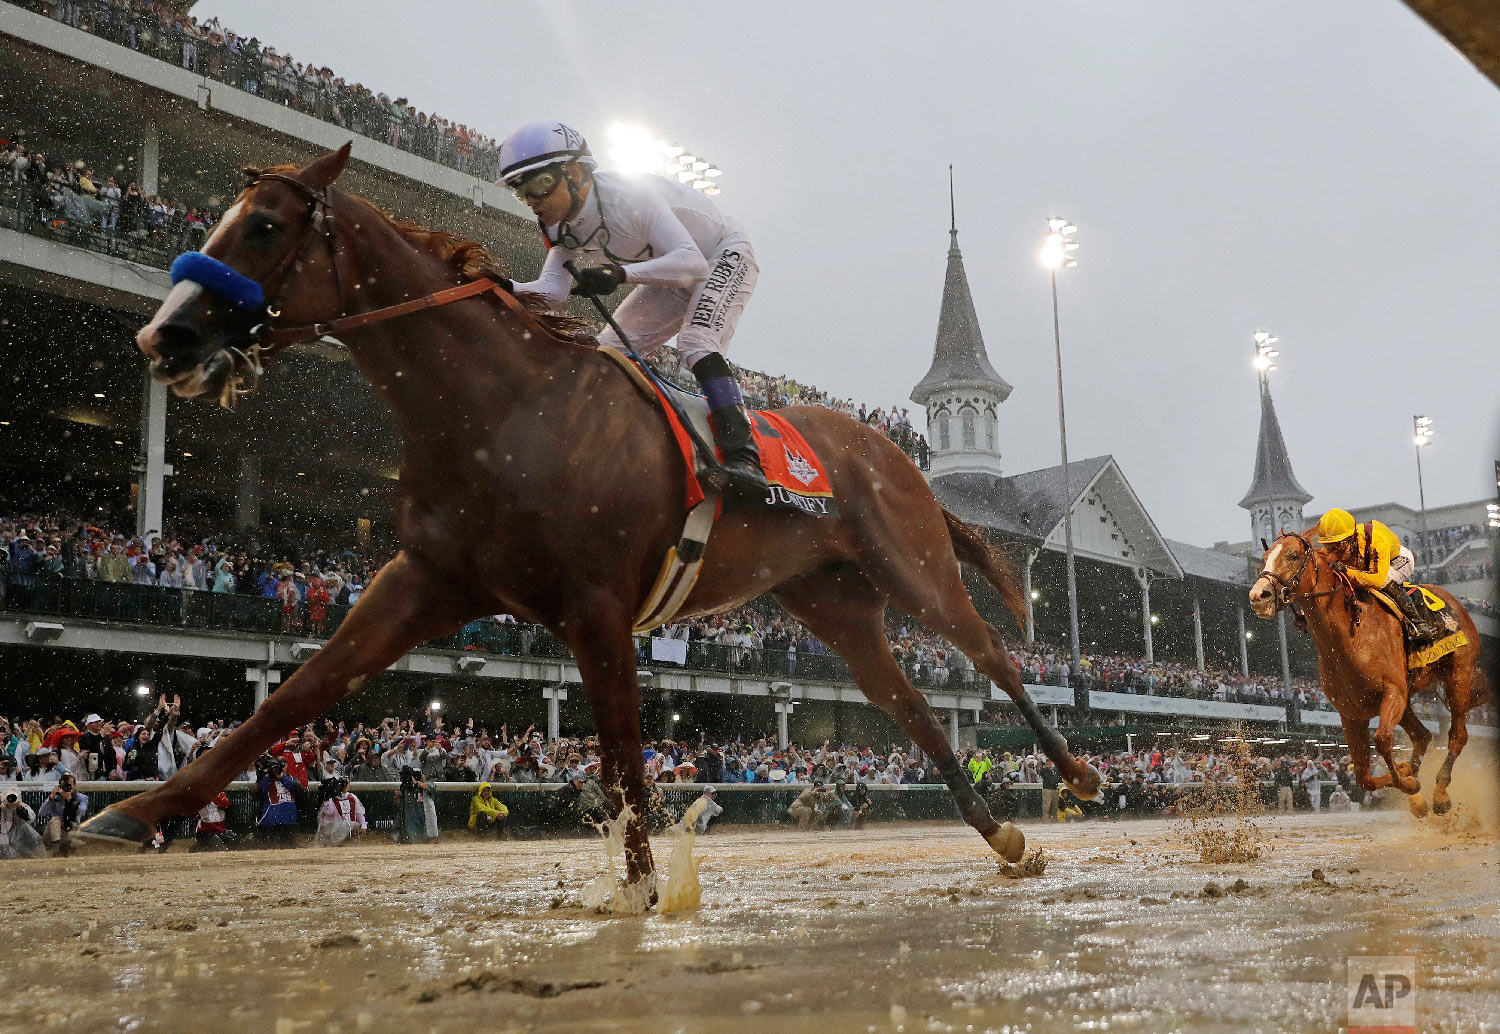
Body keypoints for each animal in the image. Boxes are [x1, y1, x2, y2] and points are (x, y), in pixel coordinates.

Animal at [76, 145, 1098, 894]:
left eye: (264, 226)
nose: (164, 335)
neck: (502, 412)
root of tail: (891, 451)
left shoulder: (600, 608)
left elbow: (621, 761)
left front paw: (645, 897)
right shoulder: (427, 580)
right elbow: (295, 694)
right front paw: (132, 811)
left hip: (913, 569)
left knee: (995, 658)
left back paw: (1075, 770)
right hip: (834, 606)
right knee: (915, 709)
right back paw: (1003, 834)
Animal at [1248, 531, 1482, 816]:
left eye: (1293, 556)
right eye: (1264, 558)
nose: (1258, 595)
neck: (1351, 637)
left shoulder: (1393, 692)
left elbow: (1381, 739)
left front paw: (1409, 783)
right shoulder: (1352, 712)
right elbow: (1363, 778)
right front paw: (1408, 778)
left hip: (1459, 676)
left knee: (1457, 736)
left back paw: (1439, 794)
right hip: (1409, 699)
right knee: (1423, 736)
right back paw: (1415, 785)